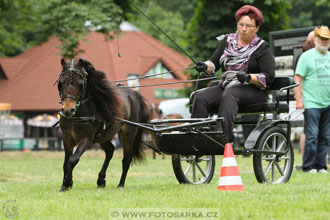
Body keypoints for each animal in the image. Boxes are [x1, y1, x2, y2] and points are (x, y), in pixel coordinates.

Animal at [57, 58, 150, 191]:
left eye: (80, 83)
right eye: (61, 82)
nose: (67, 110)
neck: (76, 116)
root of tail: (133, 94)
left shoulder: (86, 140)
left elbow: (73, 160)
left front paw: (68, 182)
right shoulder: (67, 139)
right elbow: (66, 163)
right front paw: (65, 185)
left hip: (128, 133)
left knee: (126, 160)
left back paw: (120, 184)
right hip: (104, 136)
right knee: (110, 150)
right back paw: (101, 180)